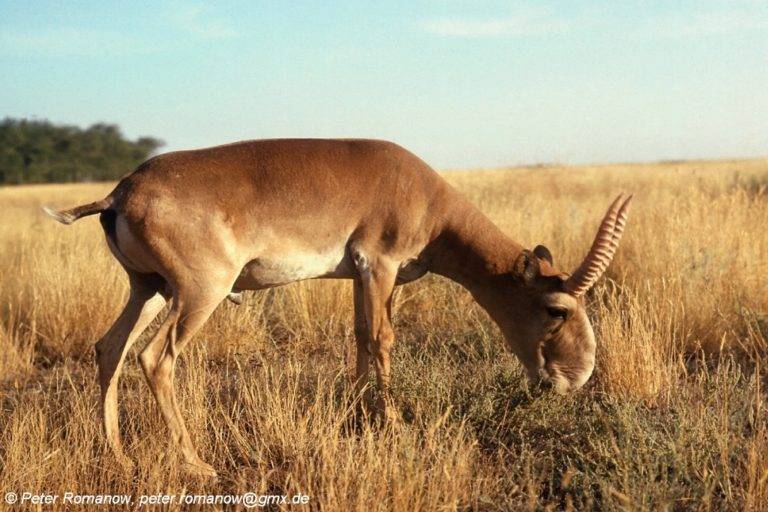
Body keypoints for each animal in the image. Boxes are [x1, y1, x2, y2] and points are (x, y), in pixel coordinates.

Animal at [45, 138, 632, 478]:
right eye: (557, 308)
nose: (574, 378)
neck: (425, 196)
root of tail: (122, 192)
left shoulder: (360, 277)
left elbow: (359, 337)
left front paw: (357, 416)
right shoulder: (380, 265)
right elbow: (383, 339)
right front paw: (392, 425)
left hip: (149, 290)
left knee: (108, 349)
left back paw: (119, 456)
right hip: (197, 294)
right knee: (154, 359)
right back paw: (197, 465)